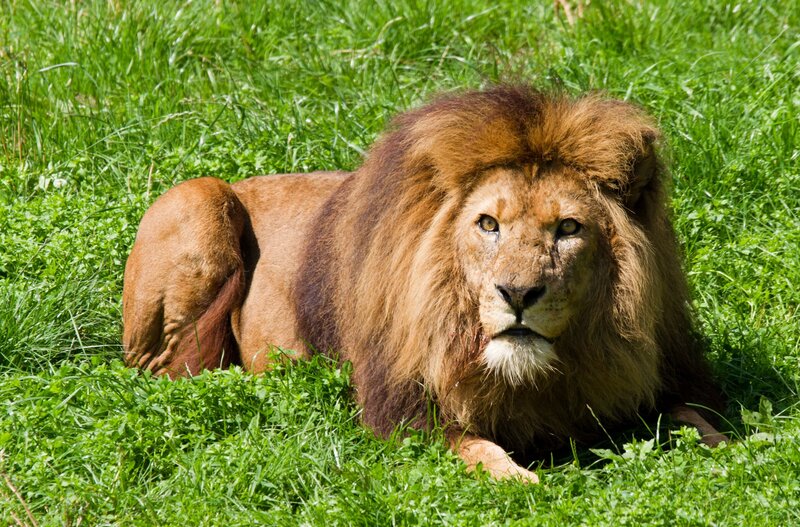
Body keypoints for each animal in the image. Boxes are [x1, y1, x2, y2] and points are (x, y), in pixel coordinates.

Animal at [122, 86, 727, 483]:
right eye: (488, 224)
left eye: (569, 229)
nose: (517, 295)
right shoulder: (404, 408)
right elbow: (475, 448)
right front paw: (519, 479)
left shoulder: (656, 373)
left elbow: (697, 418)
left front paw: (736, 458)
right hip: (200, 199)